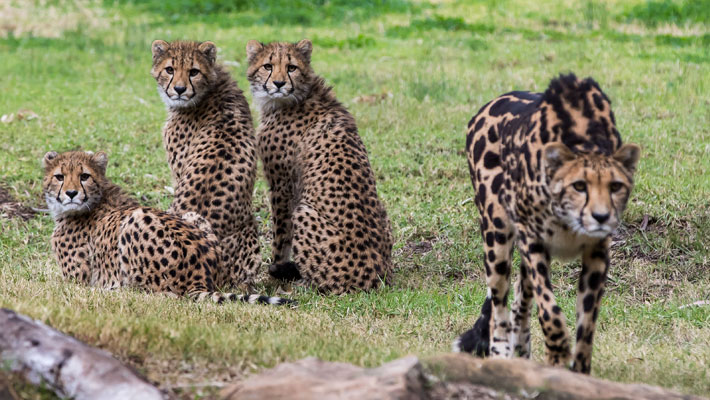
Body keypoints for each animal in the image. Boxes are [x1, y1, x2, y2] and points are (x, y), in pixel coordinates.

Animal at [43, 151, 292, 306]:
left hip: (137, 219)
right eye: (60, 177)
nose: (71, 193)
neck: (96, 198)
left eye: (84, 176)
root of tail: (200, 279)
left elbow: (53, 285)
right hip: (191, 215)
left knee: (160, 295)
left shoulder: (76, 280)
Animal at [248, 38, 394, 294]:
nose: (279, 83)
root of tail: (378, 276)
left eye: (291, 67)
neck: (297, 96)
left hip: (304, 212)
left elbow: (281, 236)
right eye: (267, 66)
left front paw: (273, 274)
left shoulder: (282, 186)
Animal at [456, 73, 644, 374]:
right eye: (579, 185)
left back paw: (523, 353)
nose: (601, 216)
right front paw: (557, 355)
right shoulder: (534, 242)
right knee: (500, 305)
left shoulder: (597, 252)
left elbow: (587, 322)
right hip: (497, 234)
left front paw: (579, 371)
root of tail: (487, 106)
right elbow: (549, 310)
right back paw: (502, 356)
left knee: (520, 300)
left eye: (615, 186)